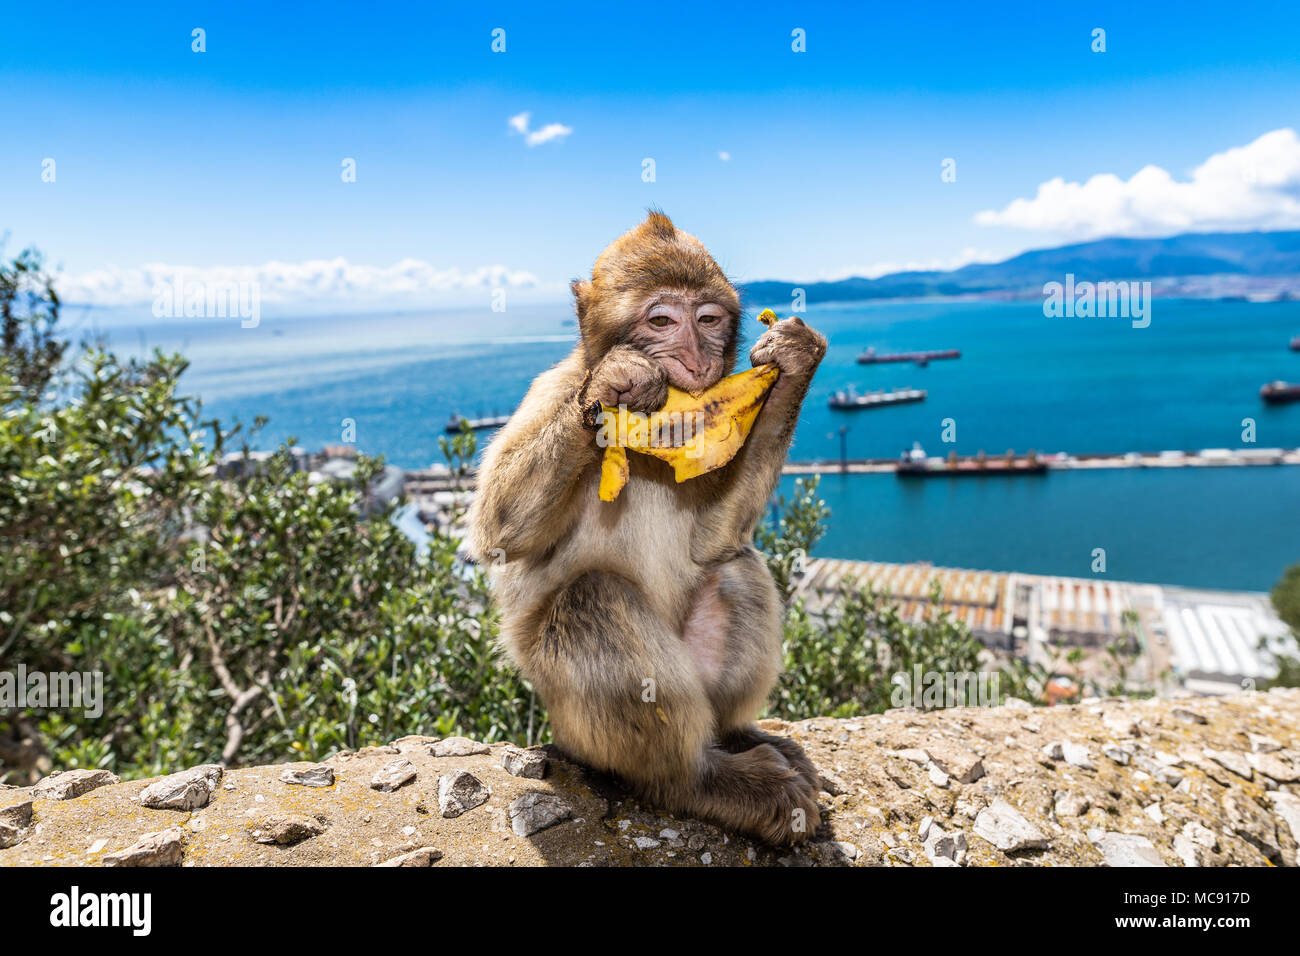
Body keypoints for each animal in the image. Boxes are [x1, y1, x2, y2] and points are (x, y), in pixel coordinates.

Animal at [467, 209, 826, 842]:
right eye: (661, 320)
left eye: (707, 319)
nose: (697, 359)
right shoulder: (551, 391)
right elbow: (499, 532)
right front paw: (616, 381)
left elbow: (713, 541)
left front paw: (793, 360)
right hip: (576, 725)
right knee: (590, 599)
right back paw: (698, 782)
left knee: (735, 568)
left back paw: (735, 736)